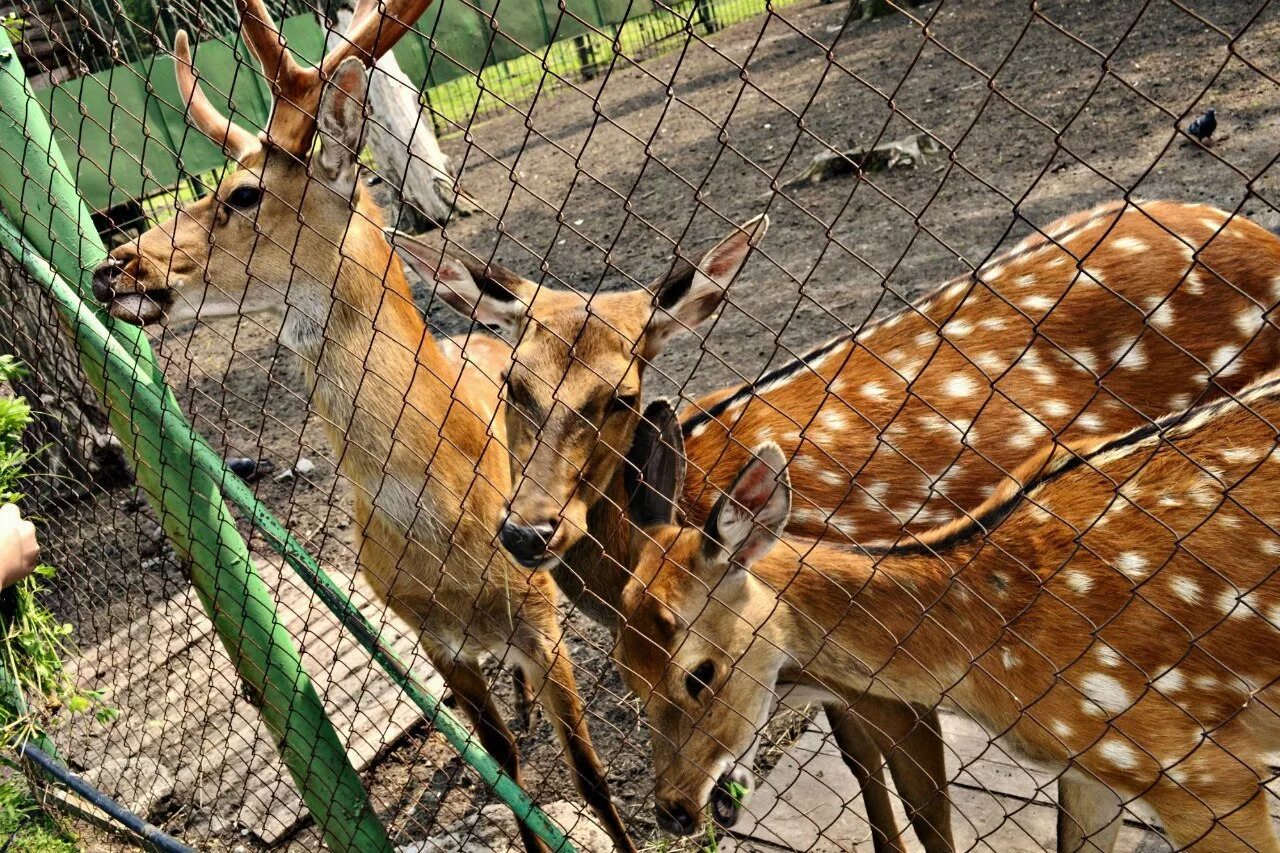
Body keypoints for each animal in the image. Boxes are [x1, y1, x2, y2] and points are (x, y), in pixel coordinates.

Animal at [87, 3, 637, 845]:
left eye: (242, 194)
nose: (109, 268)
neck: (448, 532)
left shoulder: (544, 623)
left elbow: (591, 776)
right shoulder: (428, 635)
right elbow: (505, 764)